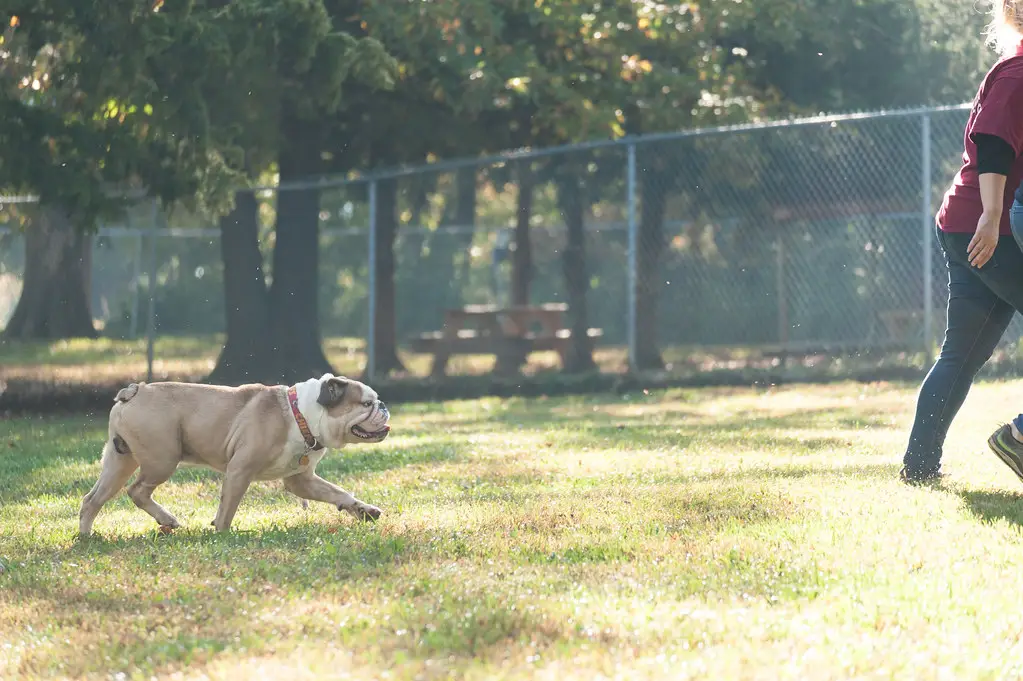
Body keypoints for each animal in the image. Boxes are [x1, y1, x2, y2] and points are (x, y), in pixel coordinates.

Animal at [78, 372, 390, 535]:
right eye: (366, 403)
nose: (384, 405)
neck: (300, 414)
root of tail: (134, 390)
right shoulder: (240, 470)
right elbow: (227, 508)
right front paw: (223, 533)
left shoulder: (302, 481)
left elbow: (338, 492)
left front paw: (363, 510)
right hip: (162, 459)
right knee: (137, 491)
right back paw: (166, 519)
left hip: (119, 462)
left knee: (93, 499)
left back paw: (86, 536)